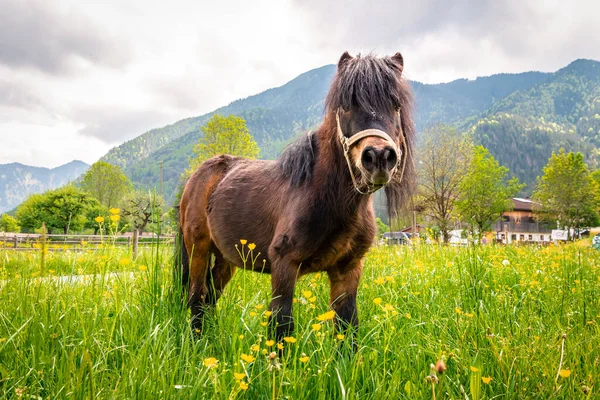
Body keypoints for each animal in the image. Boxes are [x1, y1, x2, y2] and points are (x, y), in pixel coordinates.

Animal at [176, 51, 414, 342]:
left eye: (395, 105)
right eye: (346, 105)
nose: (378, 156)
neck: (326, 196)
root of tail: (197, 176)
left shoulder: (348, 269)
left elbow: (347, 329)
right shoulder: (284, 267)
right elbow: (281, 327)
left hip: (226, 259)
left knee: (210, 297)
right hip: (198, 248)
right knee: (197, 296)